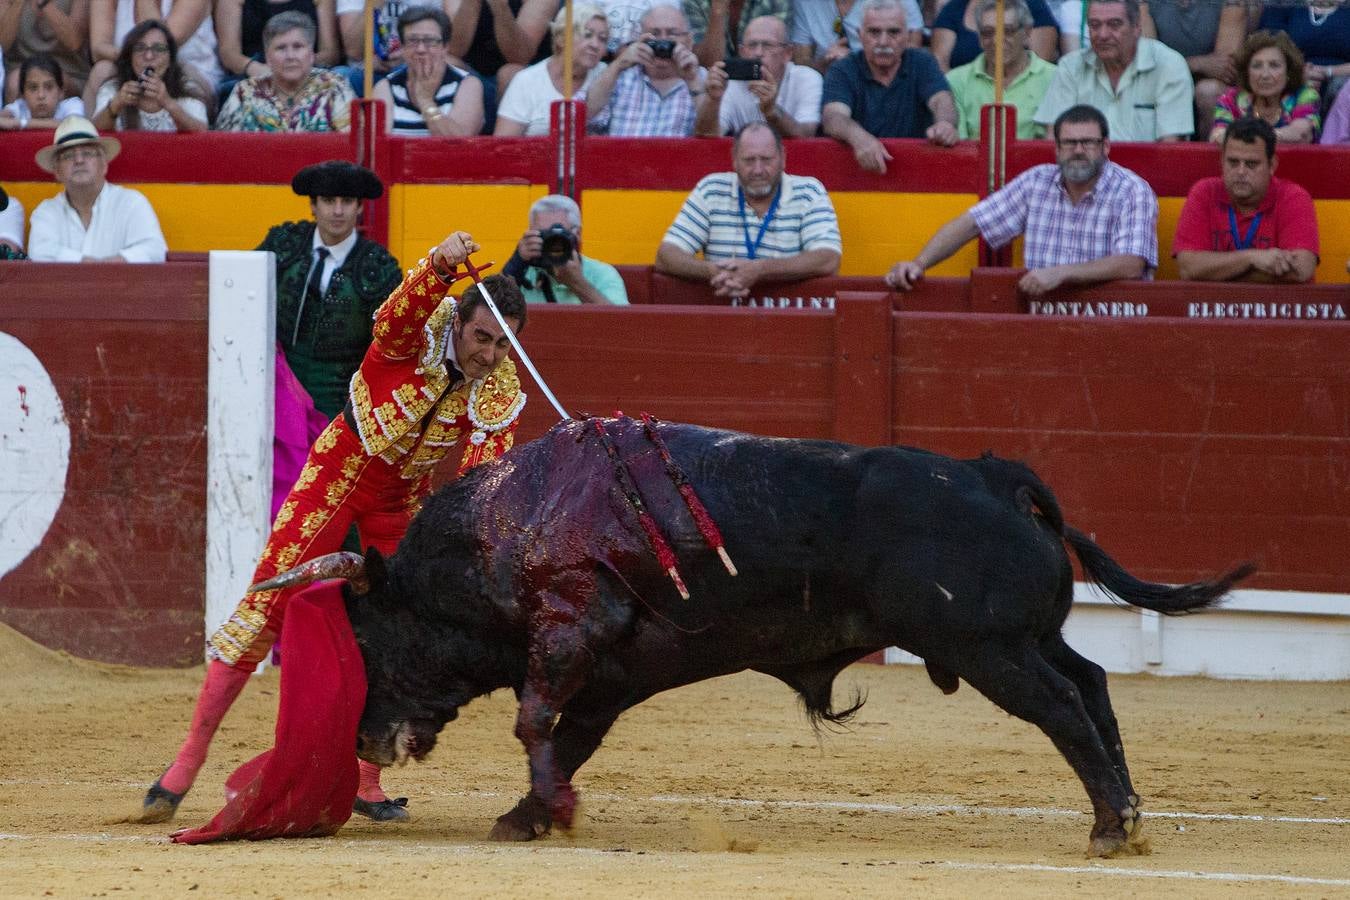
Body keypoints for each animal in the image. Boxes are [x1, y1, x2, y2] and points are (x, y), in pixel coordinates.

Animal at [265, 418, 1252, 858]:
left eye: (373, 640)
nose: (365, 741)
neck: (502, 531)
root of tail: (992, 474)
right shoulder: (606, 676)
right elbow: (565, 737)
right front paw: (530, 814)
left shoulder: (569, 637)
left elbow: (532, 721)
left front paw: (544, 812)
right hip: (1025, 638)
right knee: (1091, 686)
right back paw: (1125, 813)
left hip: (991, 650)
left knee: (1062, 708)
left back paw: (1112, 826)